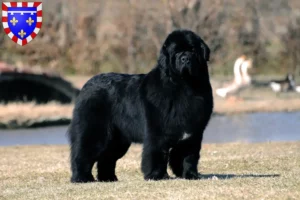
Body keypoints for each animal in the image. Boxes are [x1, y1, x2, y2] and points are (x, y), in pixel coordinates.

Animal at [68, 28, 213, 183]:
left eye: (192, 50)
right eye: (176, 52)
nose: (185, 58)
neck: (184, 86)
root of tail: (87, 84)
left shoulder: (193, 133)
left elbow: (188, 156)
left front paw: (190, 175)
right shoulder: (157, 132)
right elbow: (156, 153)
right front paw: (156, 175)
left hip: (118, 140)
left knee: (107, 158)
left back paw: (109, 178)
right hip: (94, 130)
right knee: (83, 153)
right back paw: (82, 177)